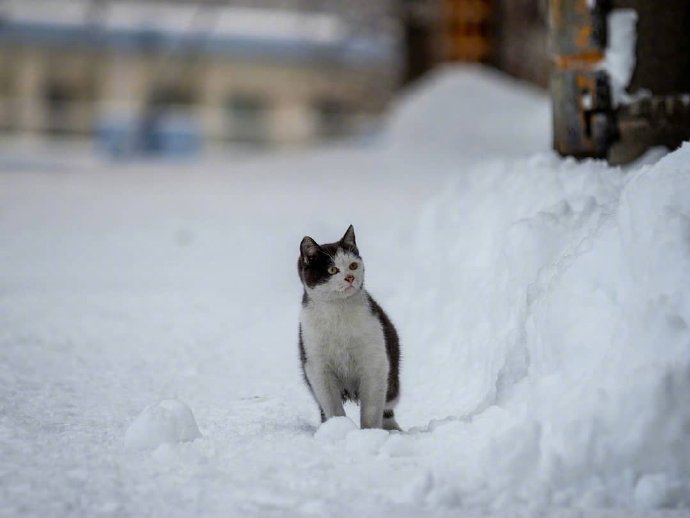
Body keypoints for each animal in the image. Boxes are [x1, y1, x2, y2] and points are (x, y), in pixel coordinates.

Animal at [294, 225, 400, 432]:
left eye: (353, 265)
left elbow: (372, 408)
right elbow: (331, 405)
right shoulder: (316, 365)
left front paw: (369, 433)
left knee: (388, 404)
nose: (350, 277)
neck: (338, 311)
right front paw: (338, 428)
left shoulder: (375, 362)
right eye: (332, 269)